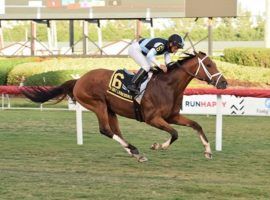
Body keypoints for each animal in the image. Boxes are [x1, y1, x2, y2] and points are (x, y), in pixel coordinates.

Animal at [21, 50, 228, 162]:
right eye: (209, 65)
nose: (224, 83)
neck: (168, 86)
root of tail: (78, 80)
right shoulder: (153, 118)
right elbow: (175, 133)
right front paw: (158, 146)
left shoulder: (172, 116)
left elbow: (196, 125)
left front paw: (208, 151)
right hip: (97, 105)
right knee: (105, 130)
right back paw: (135, 150)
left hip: (111, 110)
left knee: (116, 131)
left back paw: (135, 153)